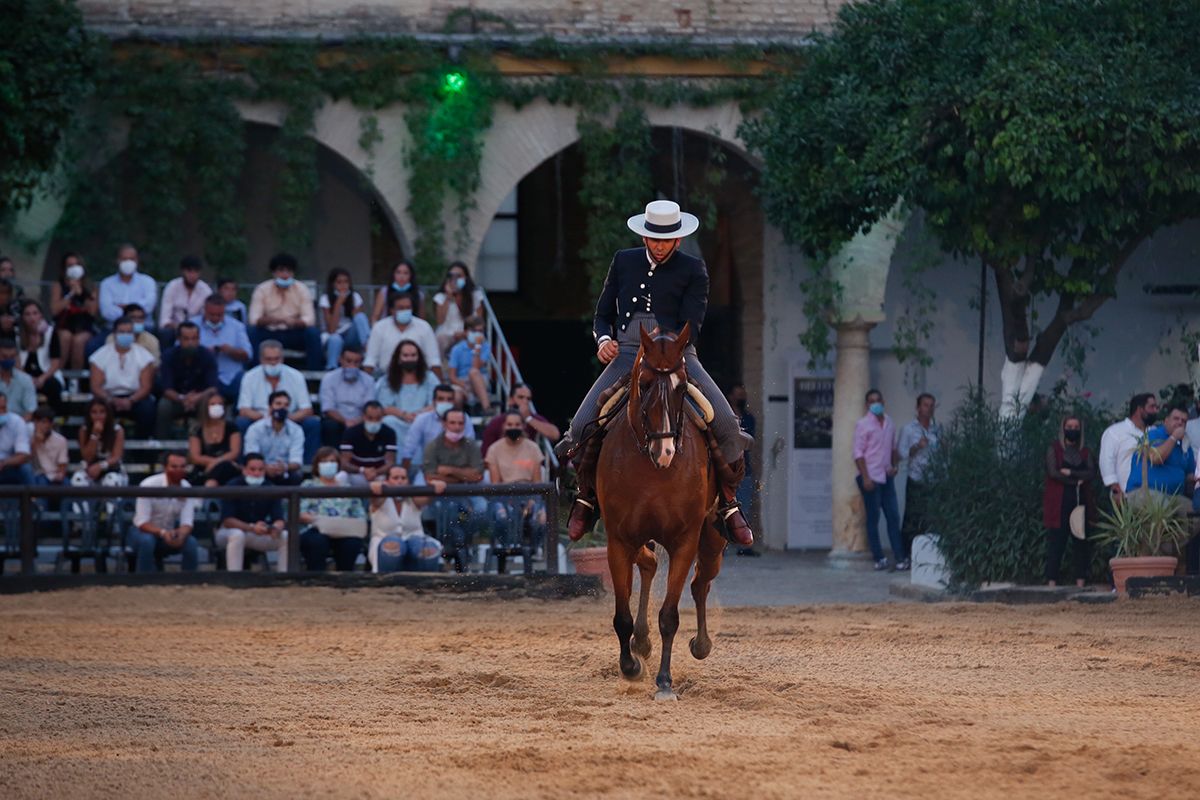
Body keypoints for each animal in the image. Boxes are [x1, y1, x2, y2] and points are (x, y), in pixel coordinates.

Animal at [595, 321, 724, 695]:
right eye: (645, 383)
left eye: (682, 386)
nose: (664, 452)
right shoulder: (618, 540)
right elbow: (621, 616)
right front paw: (630, 665)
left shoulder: (684, 542)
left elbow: (669, 616)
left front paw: (664, 682)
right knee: (650, 564)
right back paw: (641, 642)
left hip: (713, 539)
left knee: (700, 583)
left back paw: (701, 644)